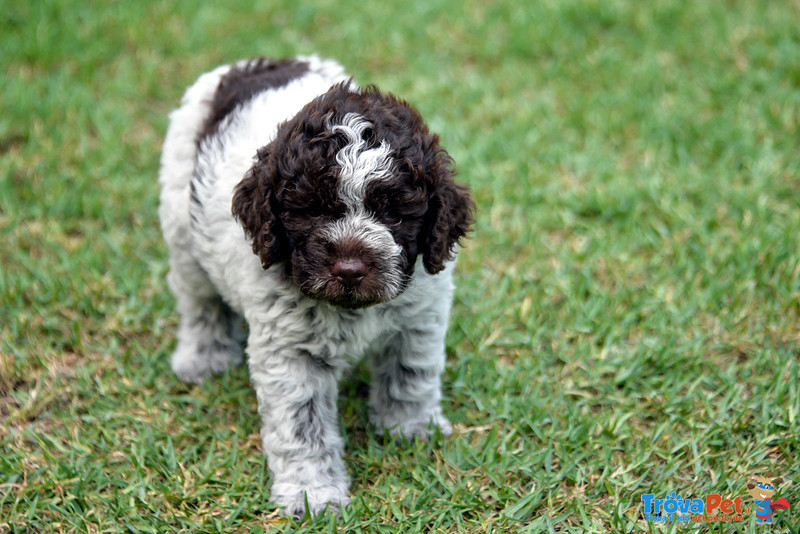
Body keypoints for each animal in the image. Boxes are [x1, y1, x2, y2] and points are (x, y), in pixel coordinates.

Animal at [158, 55, 476, 520]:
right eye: (310, 209)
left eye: (394, 213)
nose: (349, 268)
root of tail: (253, 63)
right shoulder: (290, 355)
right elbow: (301, 425)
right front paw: (313, 494)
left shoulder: (419, 316)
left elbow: (411, 373)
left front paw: (409, 428)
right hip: (182, 226)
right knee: (199, 301)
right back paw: (204, 356)